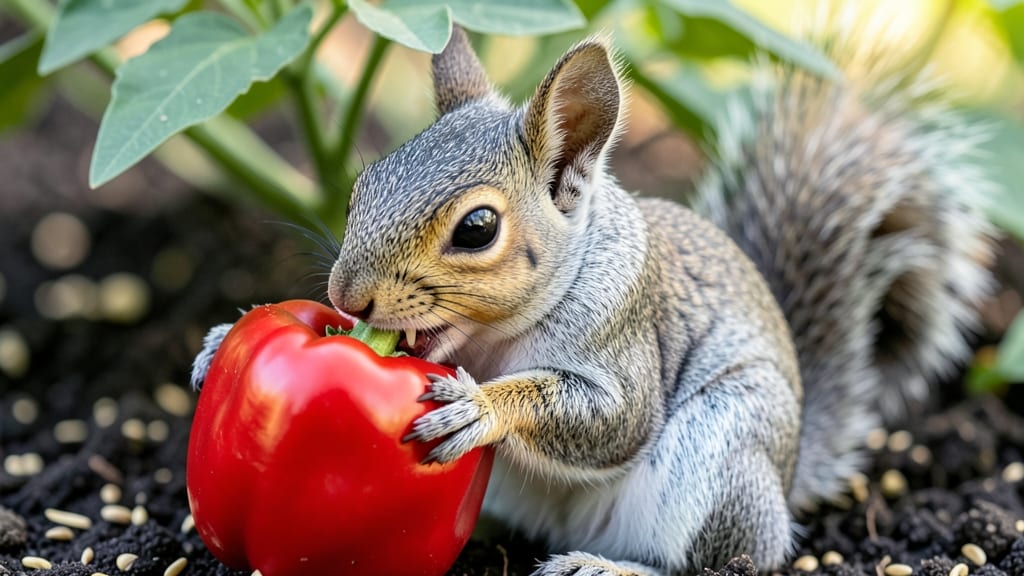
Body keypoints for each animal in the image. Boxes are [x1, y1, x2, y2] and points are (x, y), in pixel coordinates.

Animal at [192, 18, 996, 576]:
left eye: (477, 228)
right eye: (363, 185)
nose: (347, 297)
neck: (496, 341)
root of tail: (788, 476)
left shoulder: (623, 332)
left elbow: (614, 420)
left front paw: (481, 407)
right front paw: (219, 340)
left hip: (721, 449)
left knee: (727, 562)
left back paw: (607, 566)